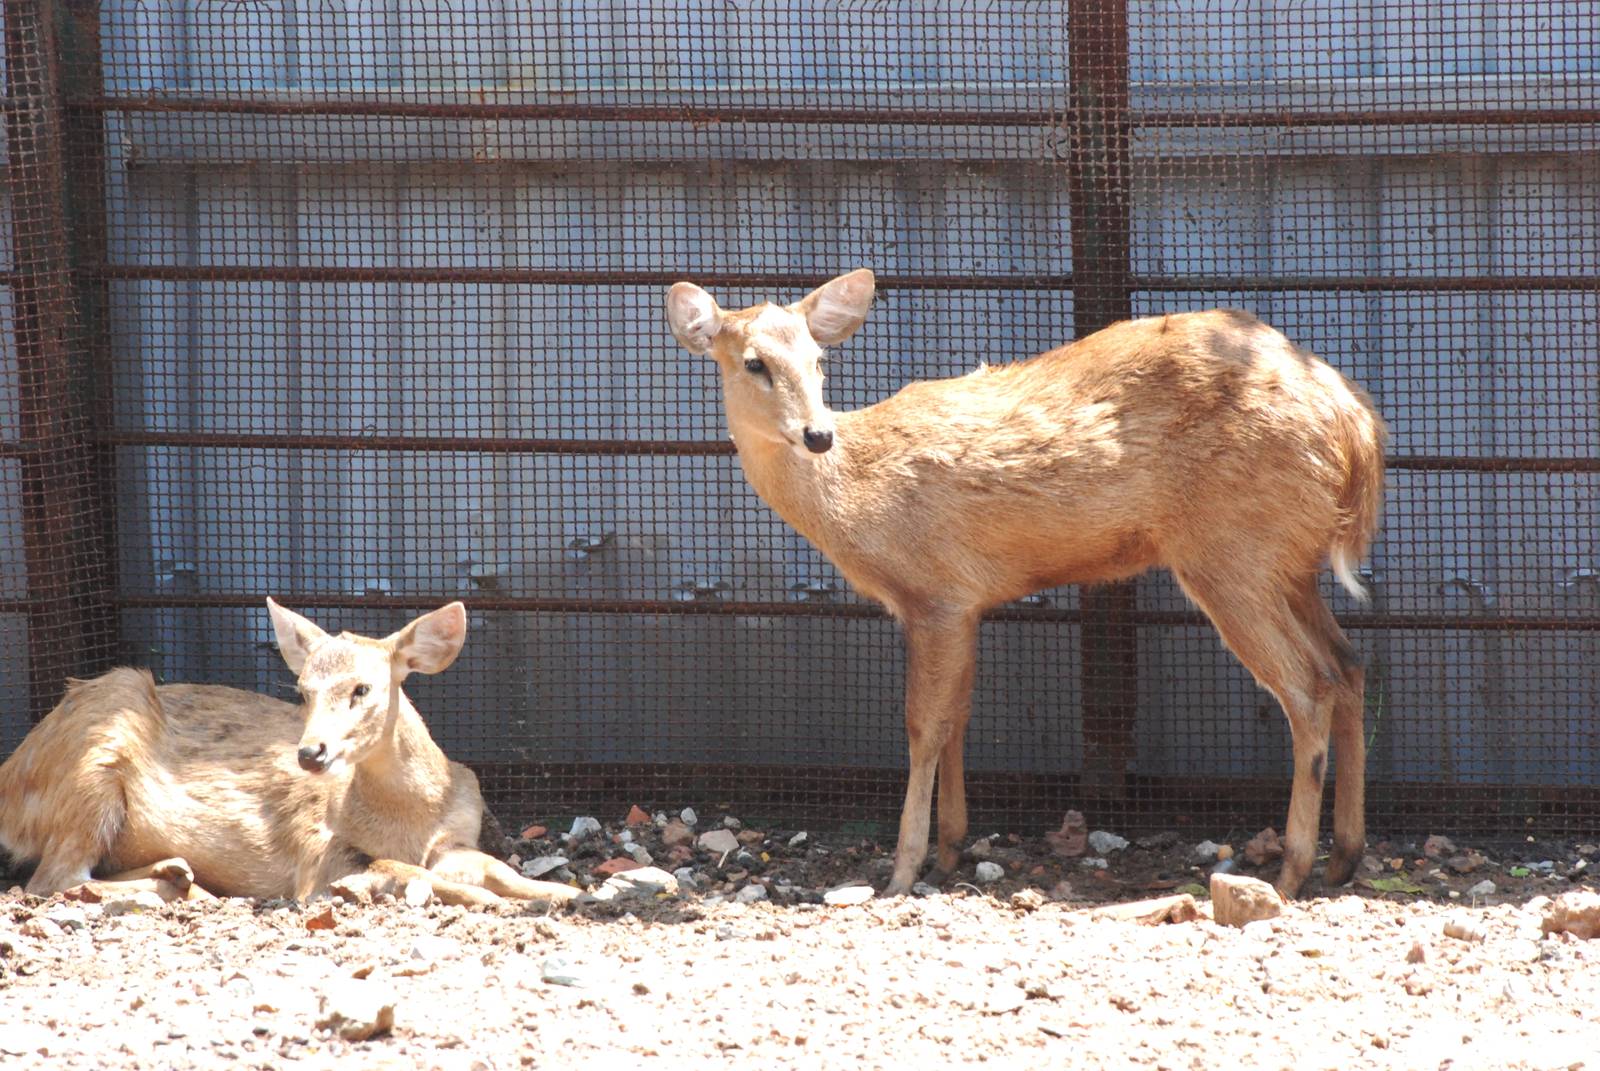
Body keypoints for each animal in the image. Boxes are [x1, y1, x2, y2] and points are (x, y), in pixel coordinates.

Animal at [0, 599, 578, 910]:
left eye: (363, 688)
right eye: (302, 690)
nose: (310, 753)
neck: (411, 817)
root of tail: (9, 781)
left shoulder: (456, 837)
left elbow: (496, 868)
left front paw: (563, 894)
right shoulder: (316, 852)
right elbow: (403, 870)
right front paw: (495, 903)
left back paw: (180, 874)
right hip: (90, 771)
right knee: (51, 881)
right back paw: (188, 890)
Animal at [665, 269, 1386, 898]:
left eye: (819, 361)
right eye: (753, 362)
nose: (817, 433)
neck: (859, 498)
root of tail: (1357, 430)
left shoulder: (936, 591)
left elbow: (923, 723)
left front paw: (903, 869)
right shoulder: (965, 604)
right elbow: (957, 714)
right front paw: (951, 847)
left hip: (1232, 550)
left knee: (1308, 685)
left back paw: (1291, 869)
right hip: (1287, 561)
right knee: (1348, 665)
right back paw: (1345, 855)